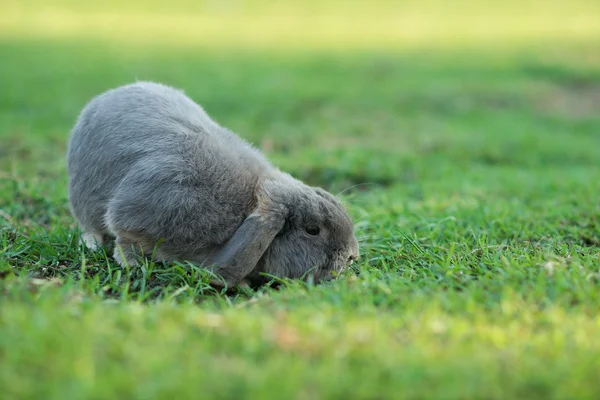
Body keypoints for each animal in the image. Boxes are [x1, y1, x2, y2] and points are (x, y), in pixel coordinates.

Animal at [67, 81, 356, 288]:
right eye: (312, 230)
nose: (353, 256)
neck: (248, 205)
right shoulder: (140, 215)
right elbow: (124, 238)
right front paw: (133, 266)